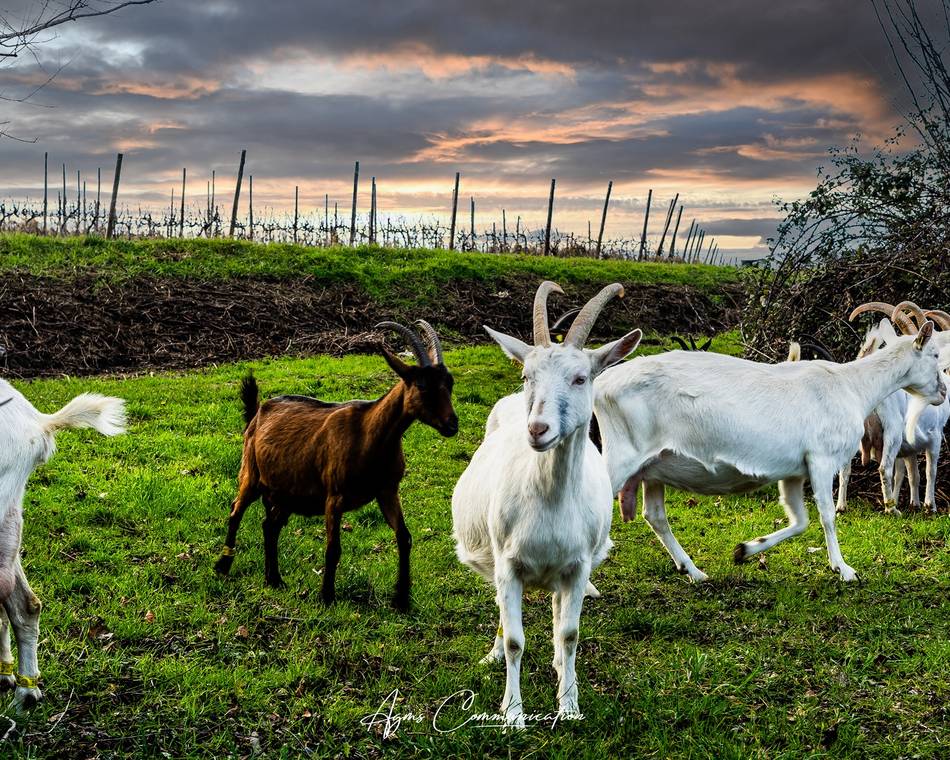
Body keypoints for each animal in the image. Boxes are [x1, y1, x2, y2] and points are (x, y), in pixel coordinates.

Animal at [214, 320, 460, 612]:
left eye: (449, 383)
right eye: (422, 385)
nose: (452, 424)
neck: (370, 434)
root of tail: (258, 412)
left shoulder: (387, 491)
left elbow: (404, 536)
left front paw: (401, 598)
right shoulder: (334, 496)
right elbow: (333, 548)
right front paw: (327, 596)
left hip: (288, 491)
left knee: (269, 526)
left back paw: (273, 579)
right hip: (251, 474)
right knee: (235, 511)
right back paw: (223, 565)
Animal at [452, 282, 644, 728]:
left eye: (580, 378)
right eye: (527, 376)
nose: (538, 429)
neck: (549, 499)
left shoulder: (577, 567)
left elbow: (570, 634)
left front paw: (569, 705)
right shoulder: (508, 565)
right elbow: (515, 640)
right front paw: (513, 713)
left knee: (559, 618)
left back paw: (558, 666)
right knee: (503, 614)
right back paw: (493, 654)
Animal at [596, 320, 944, 580]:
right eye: (935, 356)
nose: (942, 392)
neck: (853, 386)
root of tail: (602, 386)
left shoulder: (794, 470)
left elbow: (799, 520)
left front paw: (745, 550)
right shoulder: (821, 458)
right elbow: (827, 515)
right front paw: (843, 568)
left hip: (653, 466)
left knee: (654, 516)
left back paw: (693, 570)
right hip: (621, 455)